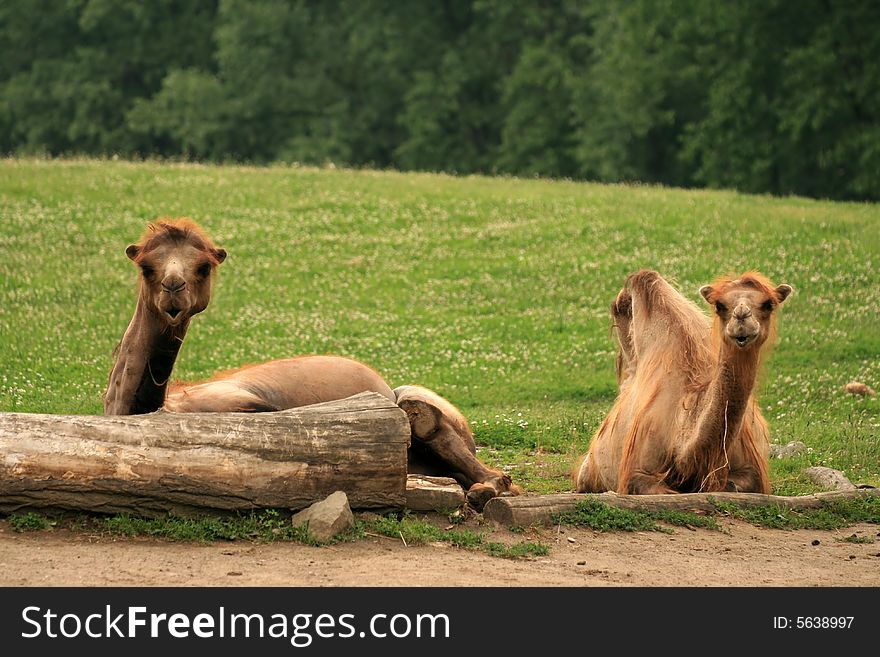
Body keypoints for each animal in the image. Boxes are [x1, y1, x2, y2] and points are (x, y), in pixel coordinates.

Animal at [104, 219, 520, 508]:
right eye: (147, 267)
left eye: (203, 267)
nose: (173, 290)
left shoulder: (255, 407)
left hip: (418, 404)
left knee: (445, 435)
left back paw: (482, 489)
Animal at [576, 270, 796, 494]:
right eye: (719, 305)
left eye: (769, 304)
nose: (741, 318)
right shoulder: (637, 469)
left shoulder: (752, 469)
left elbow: (735, 484)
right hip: (588, 471)